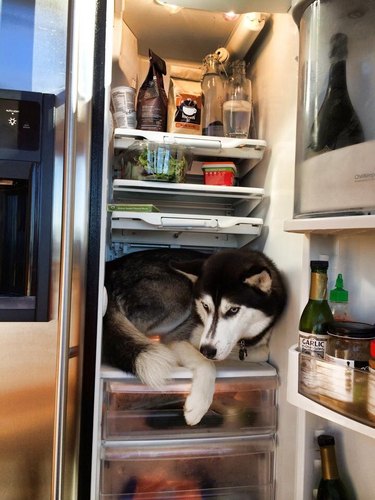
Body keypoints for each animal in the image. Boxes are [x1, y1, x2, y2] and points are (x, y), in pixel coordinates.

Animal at [103, 248, 288, 424]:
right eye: (205, 306)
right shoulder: (176, 337)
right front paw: (198, 405)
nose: (207, 351)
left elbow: (263, 351)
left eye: (233, 309)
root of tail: (111, 267)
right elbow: (206, 363)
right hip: (180, 296)